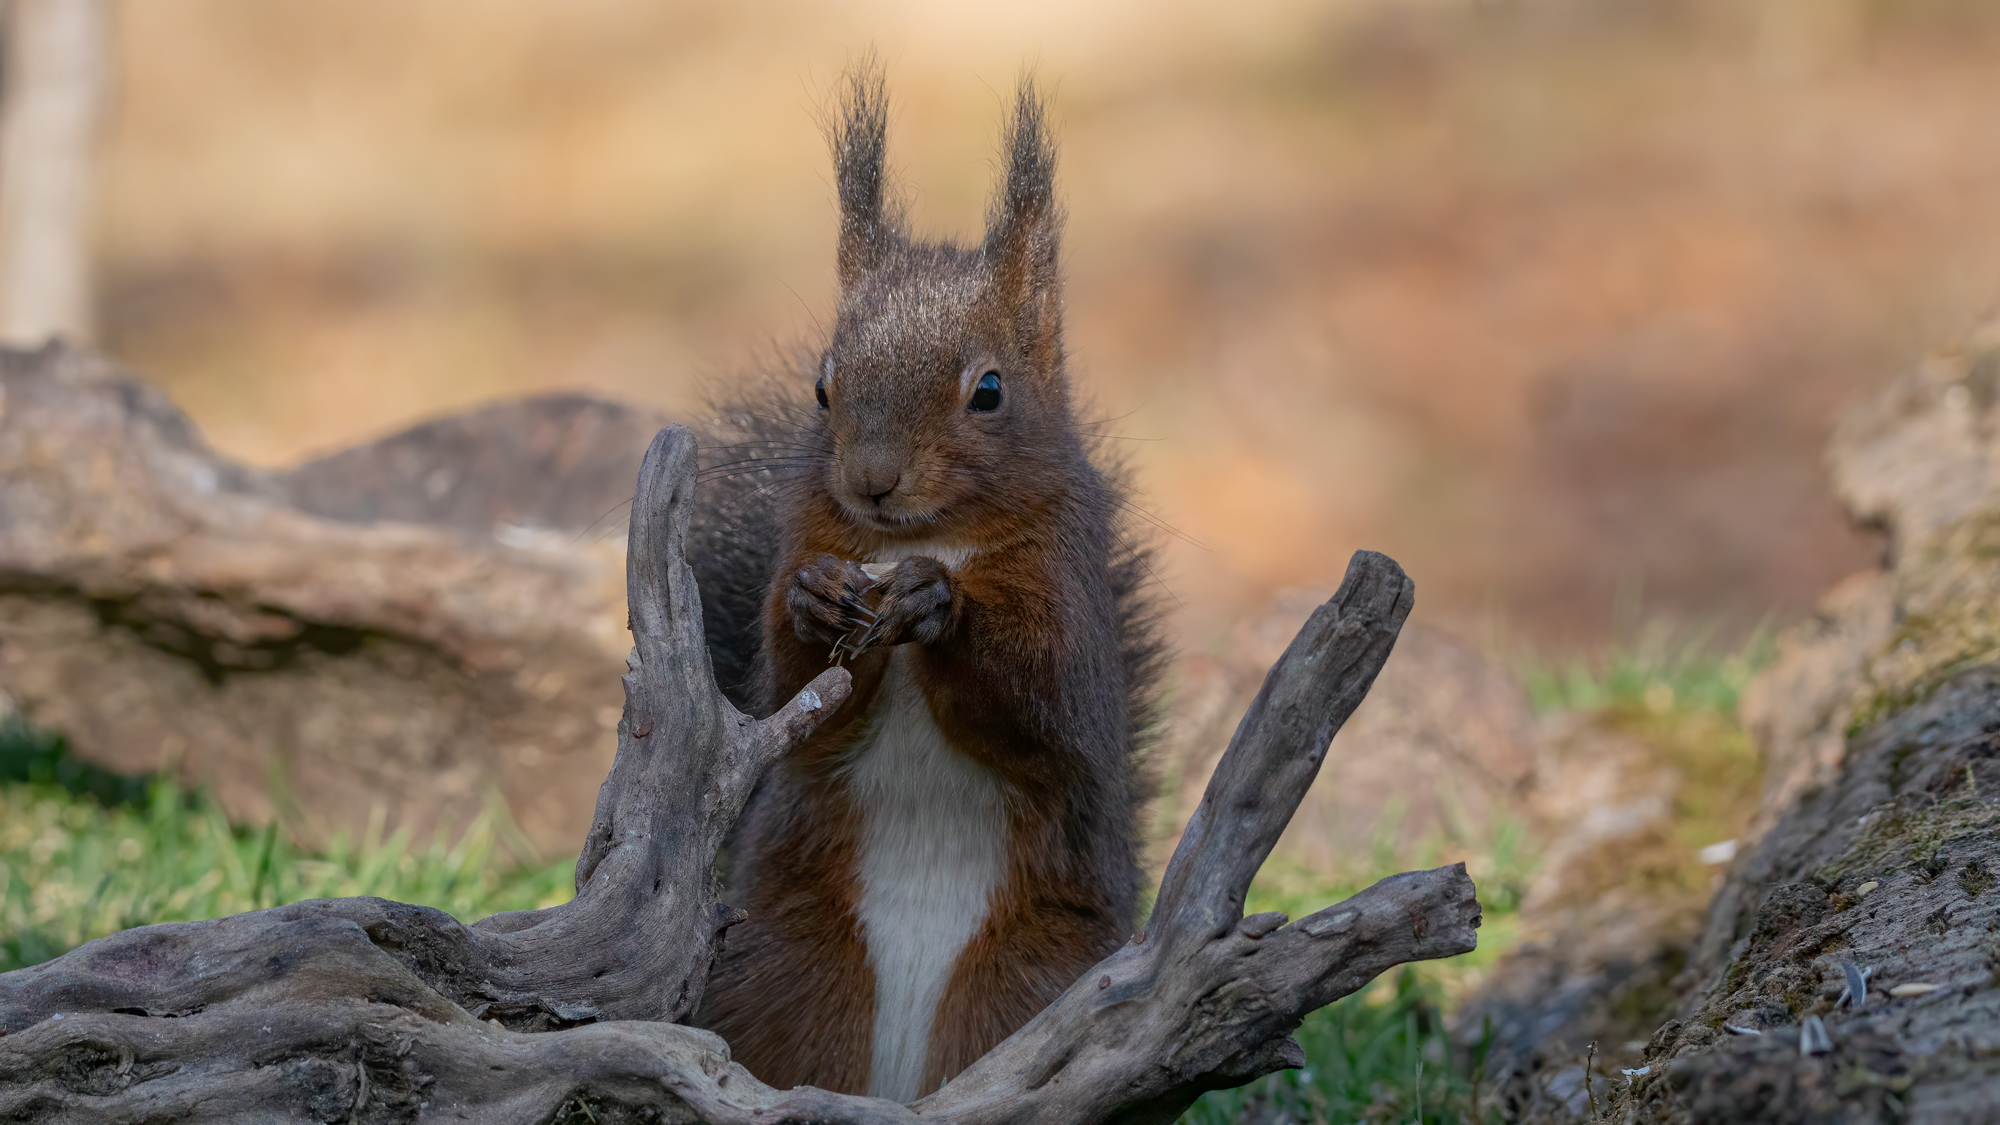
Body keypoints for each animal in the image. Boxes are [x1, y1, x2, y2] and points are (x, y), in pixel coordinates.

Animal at [687, 63, 1165, 1104]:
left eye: (988, 391)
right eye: (822, 386)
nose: (871, 477)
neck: (927, 538)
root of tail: (899, 1088)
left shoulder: (1069, 587)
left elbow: (1045, 705)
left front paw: (941, 610)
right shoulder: (806, 543)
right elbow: (795, 696)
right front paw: (816, 601)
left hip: (1032, 984)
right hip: (785, 968)